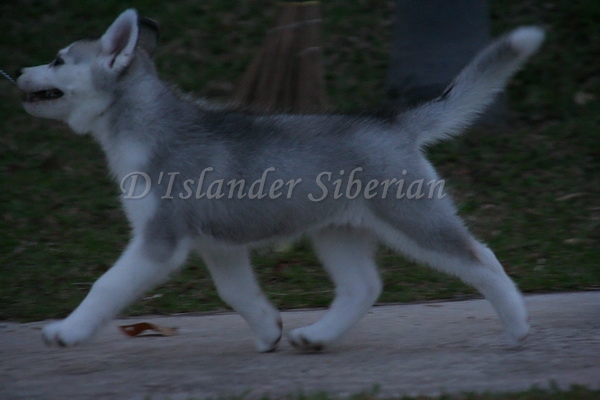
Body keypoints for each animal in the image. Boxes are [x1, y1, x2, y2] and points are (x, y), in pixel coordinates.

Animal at [17, 9, 544, 351]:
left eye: (59, 59)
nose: (18, 69)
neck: (142, 124)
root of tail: (393, 123)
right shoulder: (218, 245)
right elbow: (237, 293)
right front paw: (268, 330)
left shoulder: (159, 240)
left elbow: (106, 285)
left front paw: (67, 331)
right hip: (336, 230)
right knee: (363, 286)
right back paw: (318, 336)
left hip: (412, 218)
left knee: (481, 257)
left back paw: (517, 326)